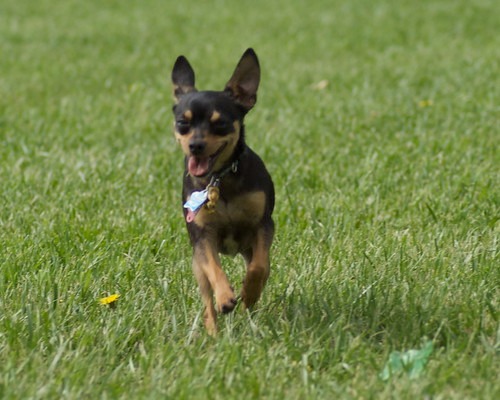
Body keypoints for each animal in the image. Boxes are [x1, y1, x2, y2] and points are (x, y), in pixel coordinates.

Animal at [171, 47, 274, 334]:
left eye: (221, 124)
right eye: (182, 123)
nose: (195, 145)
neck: (219, 180)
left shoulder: (263, 225)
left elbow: (258, 267)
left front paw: (248, 293)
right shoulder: (202, 237)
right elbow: (214, 269)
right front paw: (226, 297)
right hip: (196, 265)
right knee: (207, 298)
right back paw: (213, 333)